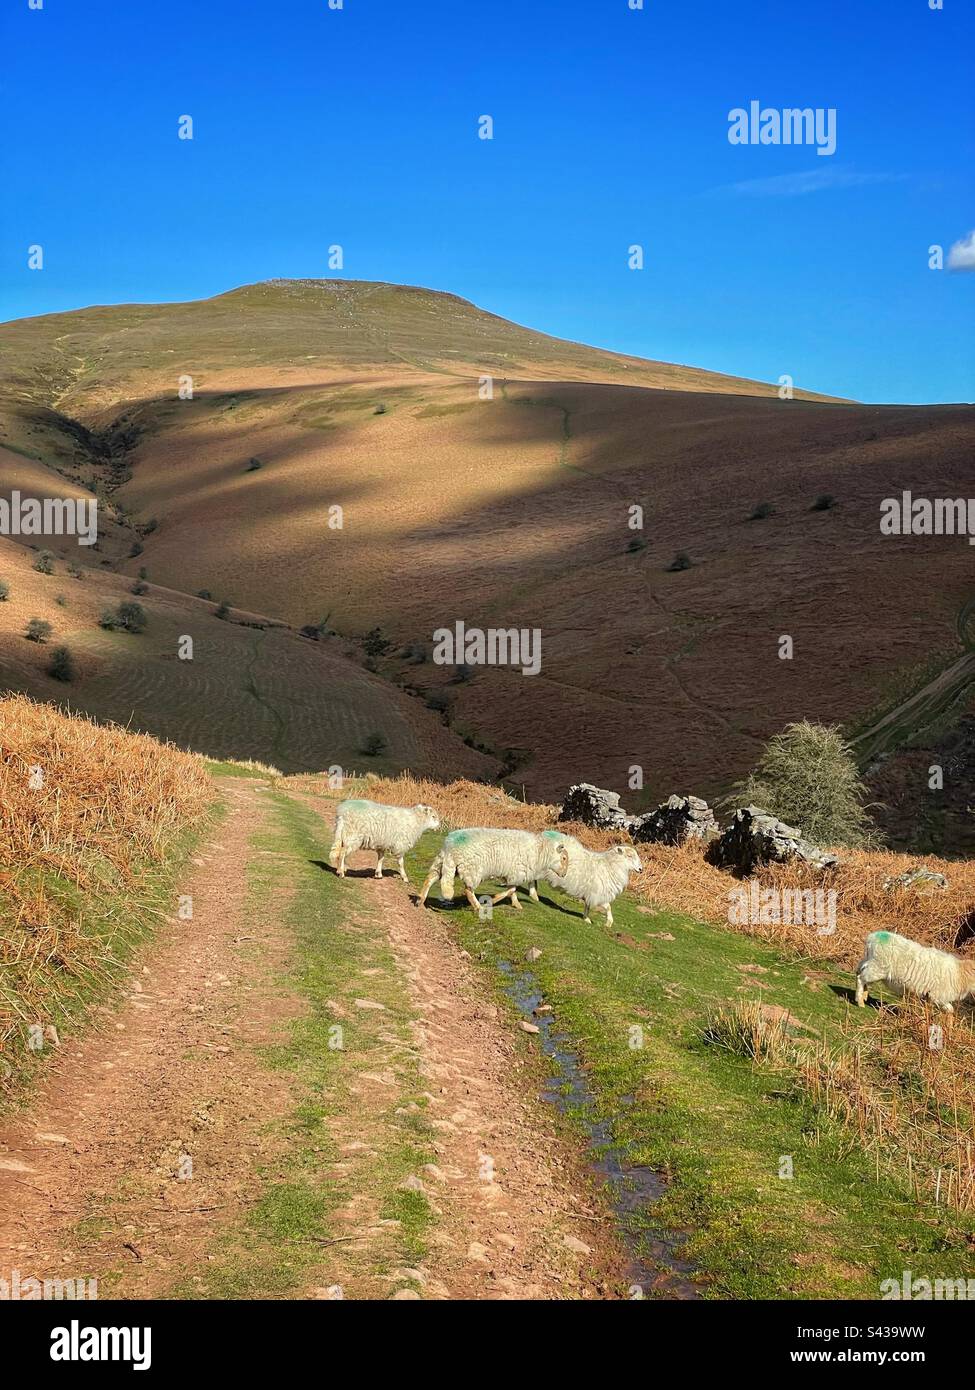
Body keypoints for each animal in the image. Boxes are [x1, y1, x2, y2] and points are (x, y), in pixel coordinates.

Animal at [418, 828, 570, 914]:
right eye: (563, 858)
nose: (564, 875)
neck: (541, 852)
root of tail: (451, 845)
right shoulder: (516, 872)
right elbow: (511, 890)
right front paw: (493, 900)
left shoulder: (511, 874)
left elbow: (512, 890)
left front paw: (516, 904)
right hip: (472, 869)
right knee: (468, 890)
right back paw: (478, 907)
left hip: (443, 863)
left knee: (430, 878)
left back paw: (420, 900)